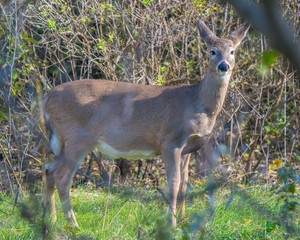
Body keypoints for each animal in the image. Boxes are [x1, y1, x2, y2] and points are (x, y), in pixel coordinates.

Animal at [42, 19, 248, 227]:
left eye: (232, 51)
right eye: (212, 51)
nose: (224, 66)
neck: (197, 104)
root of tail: (47, 98)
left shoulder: (188, 148)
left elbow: (184, 182)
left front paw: (183, 219)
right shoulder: (170, 140)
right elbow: (173, 182)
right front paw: (172, 222)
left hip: (62, 140)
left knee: (49, 170)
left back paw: (51, 219)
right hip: (78, 137)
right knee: (62, 176)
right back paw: (72, 224)